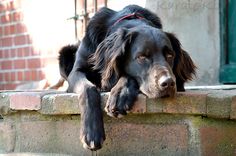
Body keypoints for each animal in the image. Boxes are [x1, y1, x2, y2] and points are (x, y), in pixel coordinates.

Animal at [58, 5, 196, 151]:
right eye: (141, 57)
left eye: (170, 55)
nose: (168, 83)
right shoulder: (76, 72)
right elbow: (88, 89)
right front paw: (92, 132)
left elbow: (127, 76)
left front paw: (120, 95)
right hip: (65, 52)